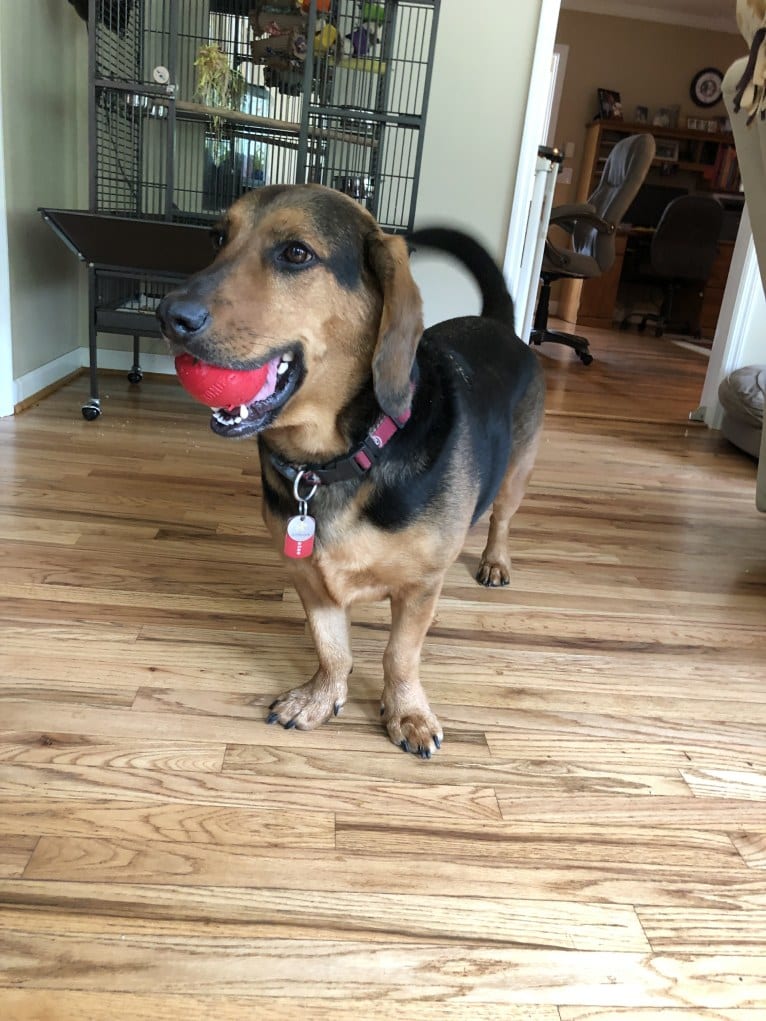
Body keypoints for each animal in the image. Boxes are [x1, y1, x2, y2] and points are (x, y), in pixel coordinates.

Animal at [159, 183, 547, 759]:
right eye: (216, 238)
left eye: (296, 253)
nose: (168, 316)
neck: (330, 462)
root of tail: (497, 324)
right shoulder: (308, 579)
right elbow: (332, 648)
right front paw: (321, 696)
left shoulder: (420, 588)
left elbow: (399, 655)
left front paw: (407, 712)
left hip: (517, 472)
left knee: (501, 517)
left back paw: (495, 560)